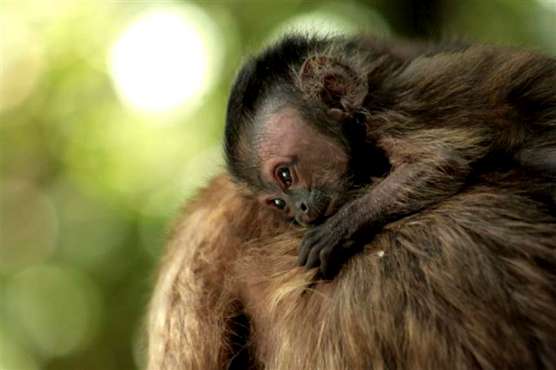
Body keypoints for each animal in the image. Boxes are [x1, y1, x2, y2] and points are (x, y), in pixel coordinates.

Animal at [224, 34, 556, 278]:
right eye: (279, 204)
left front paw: (338, 228)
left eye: (285, 175)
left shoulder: (391, 114)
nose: (300, 211)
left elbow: (440, 161)